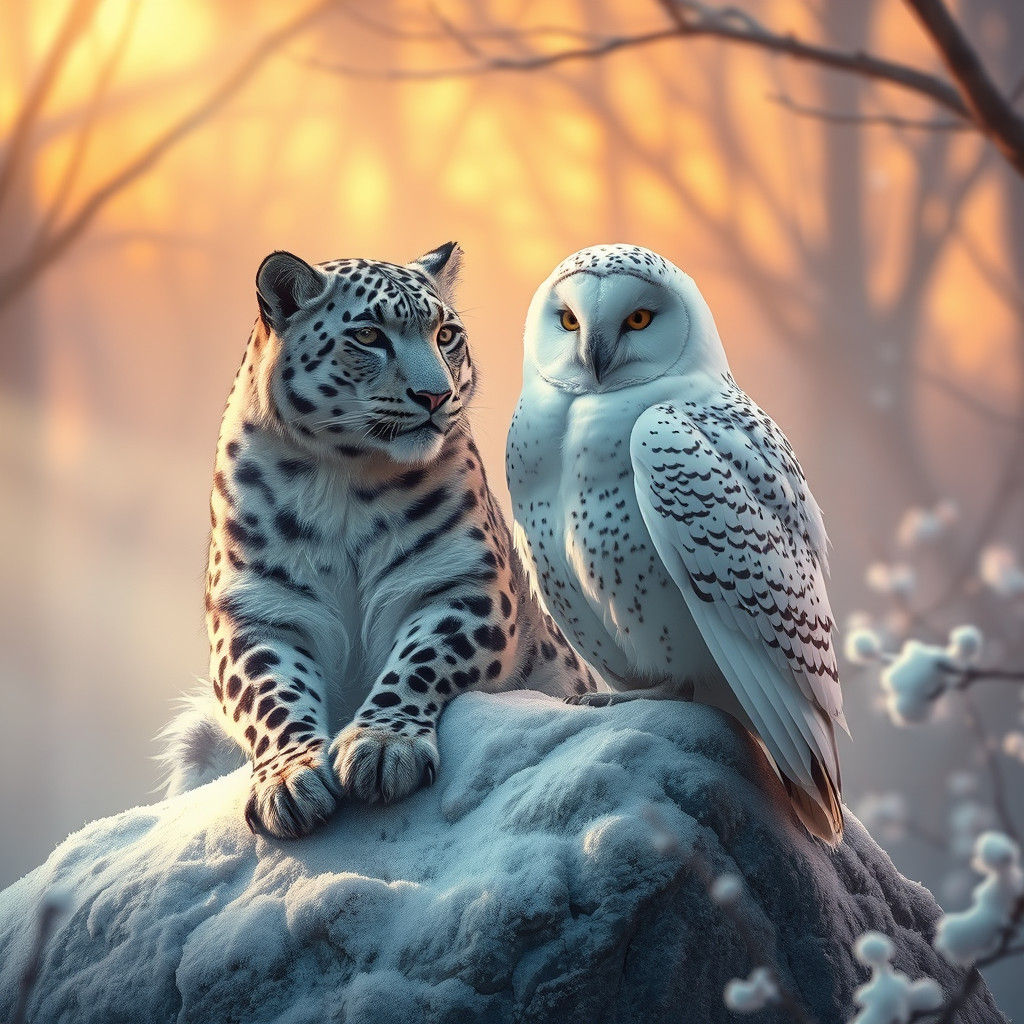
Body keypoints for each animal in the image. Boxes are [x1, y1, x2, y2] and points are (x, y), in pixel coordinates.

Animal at [160, 243, 596, 839]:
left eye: (446, 335)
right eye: (368, 335)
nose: (435, 395)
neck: (343, 479)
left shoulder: (462, 583)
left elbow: (422, 659)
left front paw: (383, 748)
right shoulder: (259, 612)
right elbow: (270, 694)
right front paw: (288, 782)